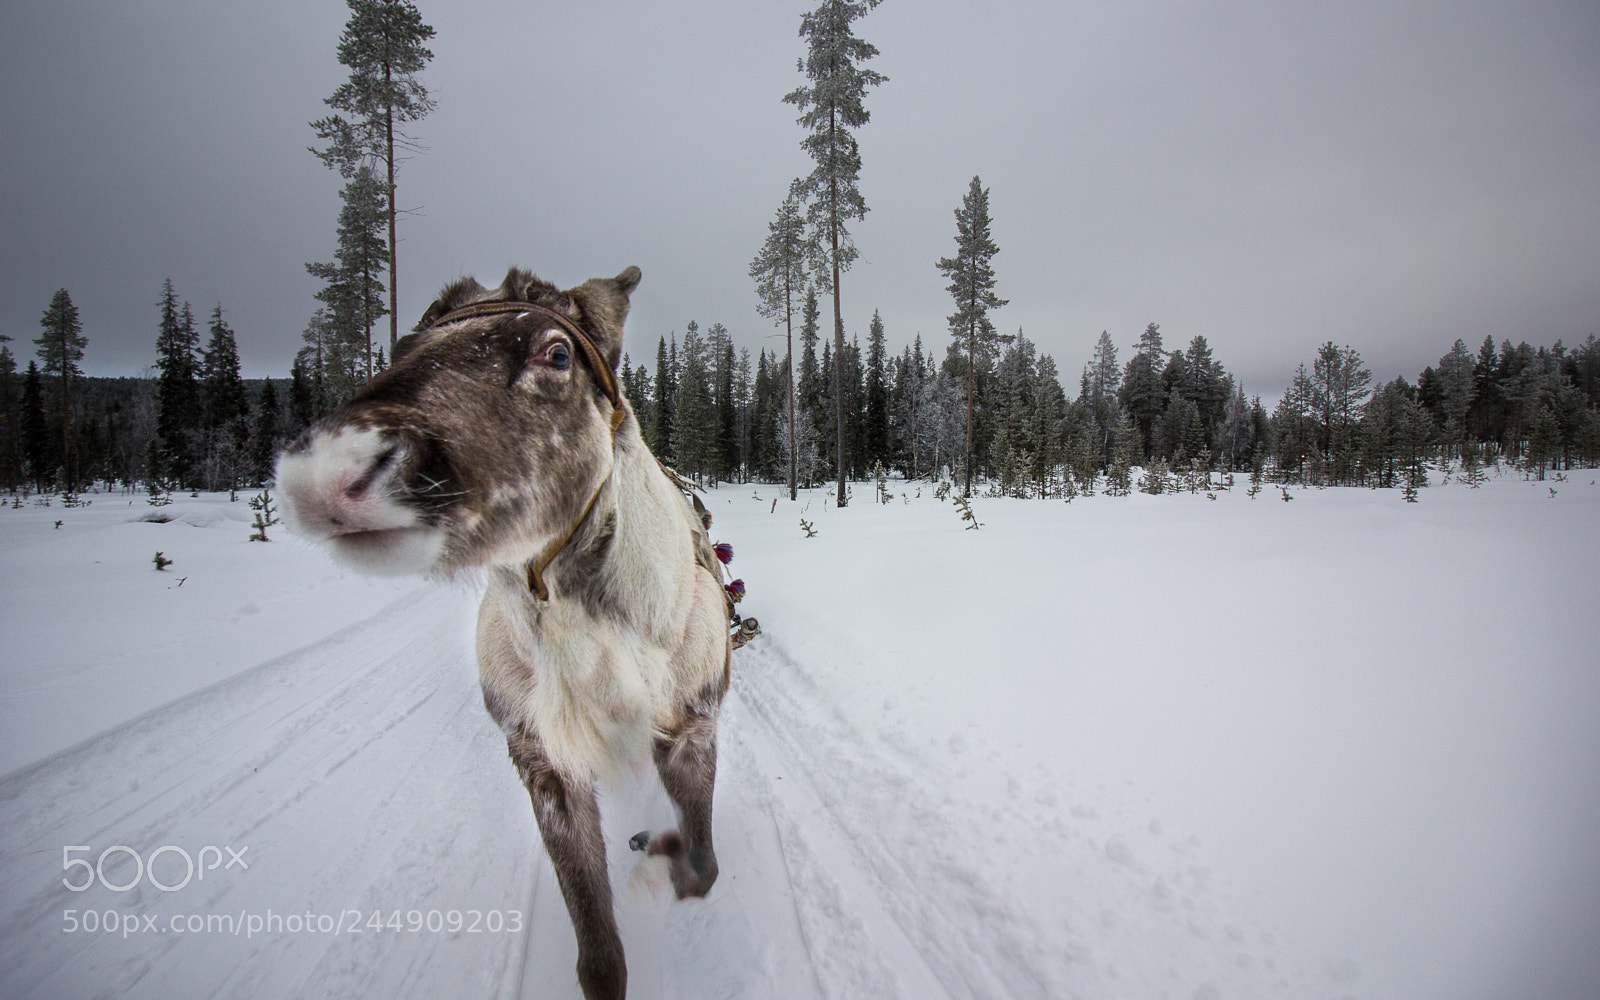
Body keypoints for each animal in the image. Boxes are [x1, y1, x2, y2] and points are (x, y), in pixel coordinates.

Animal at [275, 266, 738, 1000]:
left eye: (557, 352)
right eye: (399, 349)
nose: (328, 472)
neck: (588, 635)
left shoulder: (692, 725)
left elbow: (700, 864)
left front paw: (653, 858)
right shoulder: (539, 757)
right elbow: (598, 957)